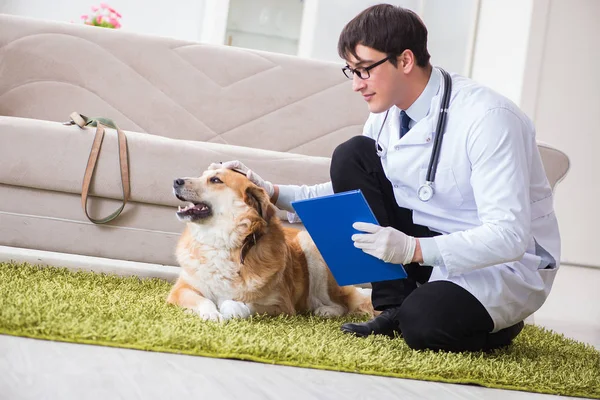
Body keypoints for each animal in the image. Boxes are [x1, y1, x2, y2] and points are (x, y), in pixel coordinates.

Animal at [166, 167, 372, 320]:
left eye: (216, 180)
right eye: (202, 175)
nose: (176, 181)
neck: (224, 243)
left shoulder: (280, 304)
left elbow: (242, 304)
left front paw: (229, 307)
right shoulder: (180, 290)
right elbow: (203, 300)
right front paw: (211, 313)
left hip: (310, 245)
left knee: (341, 304)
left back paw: (326, 310)